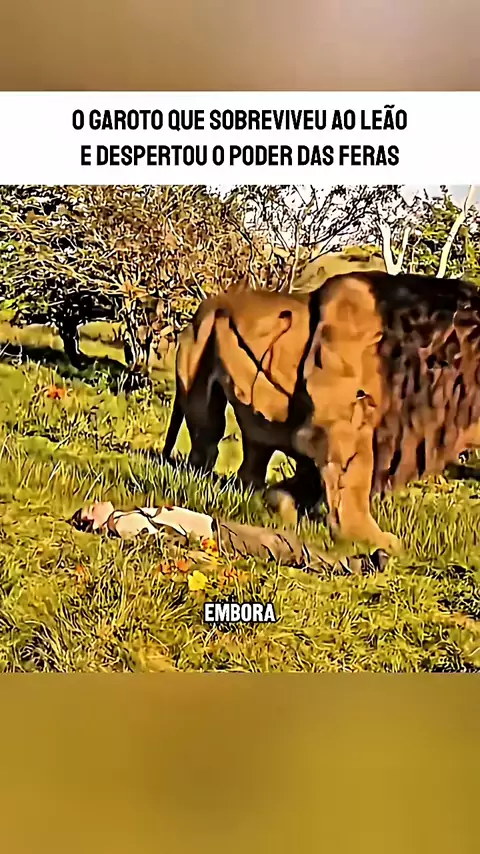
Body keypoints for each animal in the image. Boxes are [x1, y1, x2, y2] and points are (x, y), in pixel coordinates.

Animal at [162, 270, 480, 554]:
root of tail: (201, 310)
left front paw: (280, 503)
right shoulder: (341, 424)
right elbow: (353, 478)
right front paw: (372, 540)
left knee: (253, 453)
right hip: (198, 376)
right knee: (206, 440)